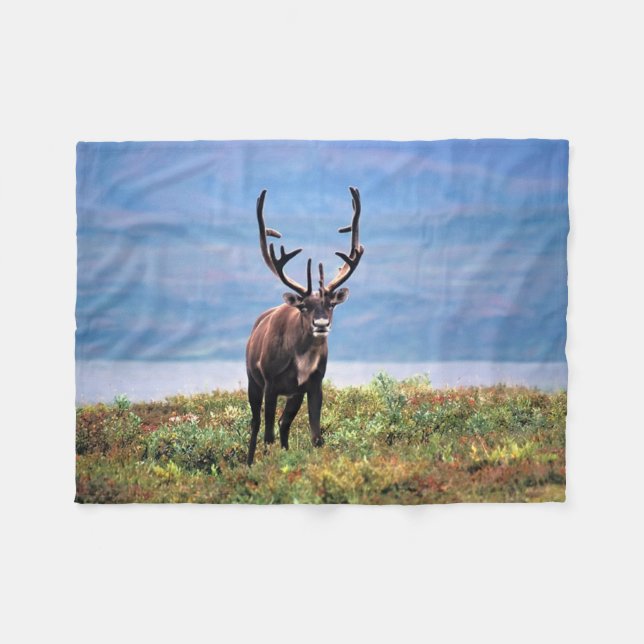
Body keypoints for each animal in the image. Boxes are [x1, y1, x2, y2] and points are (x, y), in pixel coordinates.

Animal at [245, 187, 364, 465]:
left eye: (331, 304)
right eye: (304, 307)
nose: (321, 323)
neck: (301, 358)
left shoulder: (313, 382)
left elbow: (316, 436)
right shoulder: (270, 383)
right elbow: (267, 435)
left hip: (294, 394)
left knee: (283, 423)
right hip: (253, 381)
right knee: (256, 425)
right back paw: (249, 461)